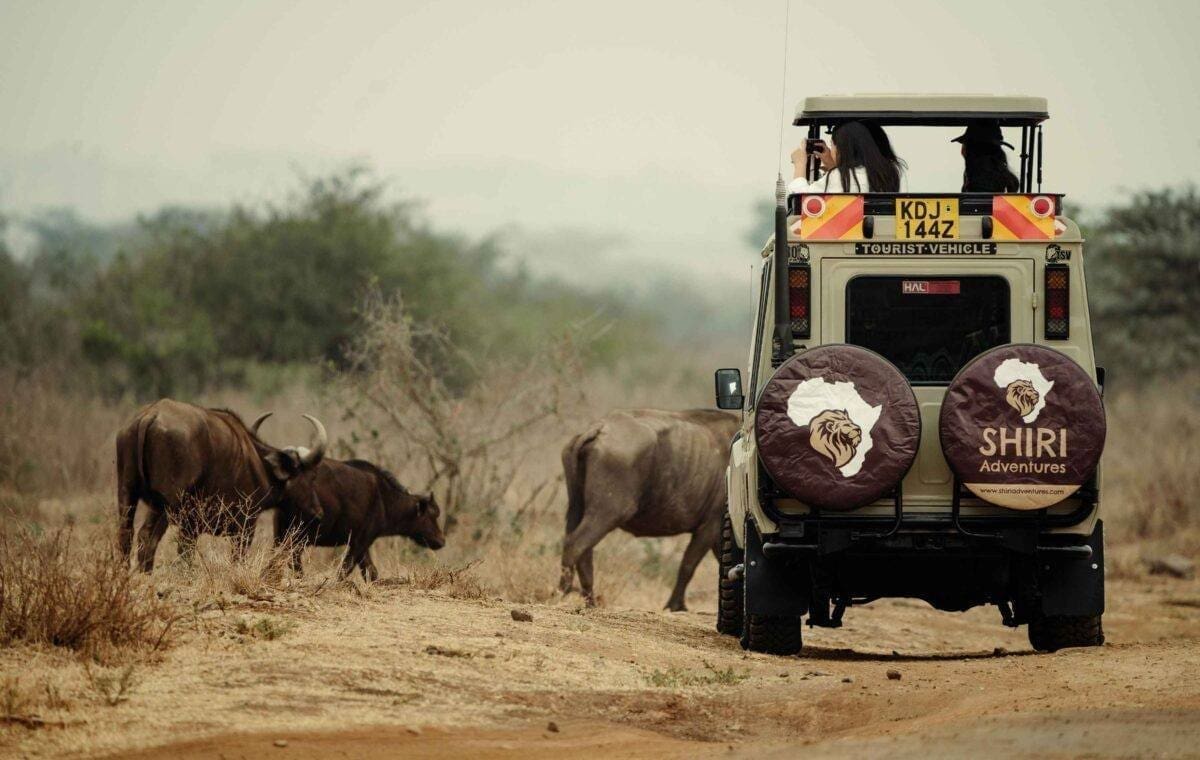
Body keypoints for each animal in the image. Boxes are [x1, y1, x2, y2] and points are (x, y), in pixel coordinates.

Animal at [115, 396, 328, 569]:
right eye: (311, 476)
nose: (318, 513)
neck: (258, 462)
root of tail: (151, 415)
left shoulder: (190, 526)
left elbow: (185, 552)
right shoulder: (245, 524)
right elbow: (234, 558)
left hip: (126, 492)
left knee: (125, 533)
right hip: (165, 502)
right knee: (146, 536)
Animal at [274, 453, 448, 578]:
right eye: (432, 515)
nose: (441, 540)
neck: (384, 498)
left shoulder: (361, 544)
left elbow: (371, 572)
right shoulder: (361, 541)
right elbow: (345, 570)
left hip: (282, 531)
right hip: (301, 534)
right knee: (291, 557)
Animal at [559, 408, 739, 609]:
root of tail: (599, 428)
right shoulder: (709, 526)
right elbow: (688, 565)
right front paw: (674, 605)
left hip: (577, 508)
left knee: (582, 550)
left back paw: (589, 600)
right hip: (608, 512)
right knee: (575, 544)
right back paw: (564, 592)